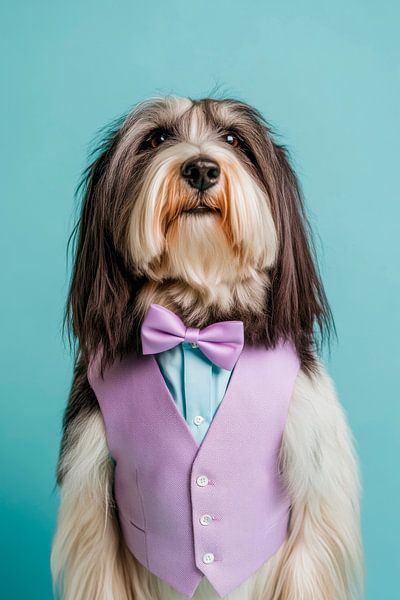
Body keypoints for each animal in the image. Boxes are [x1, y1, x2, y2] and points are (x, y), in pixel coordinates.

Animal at [51, 96, 364, 596]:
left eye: (234, 139)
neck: (197, 323)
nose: (200, 169)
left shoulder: (315, 499)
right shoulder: (91, 509)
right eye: (156, 138)